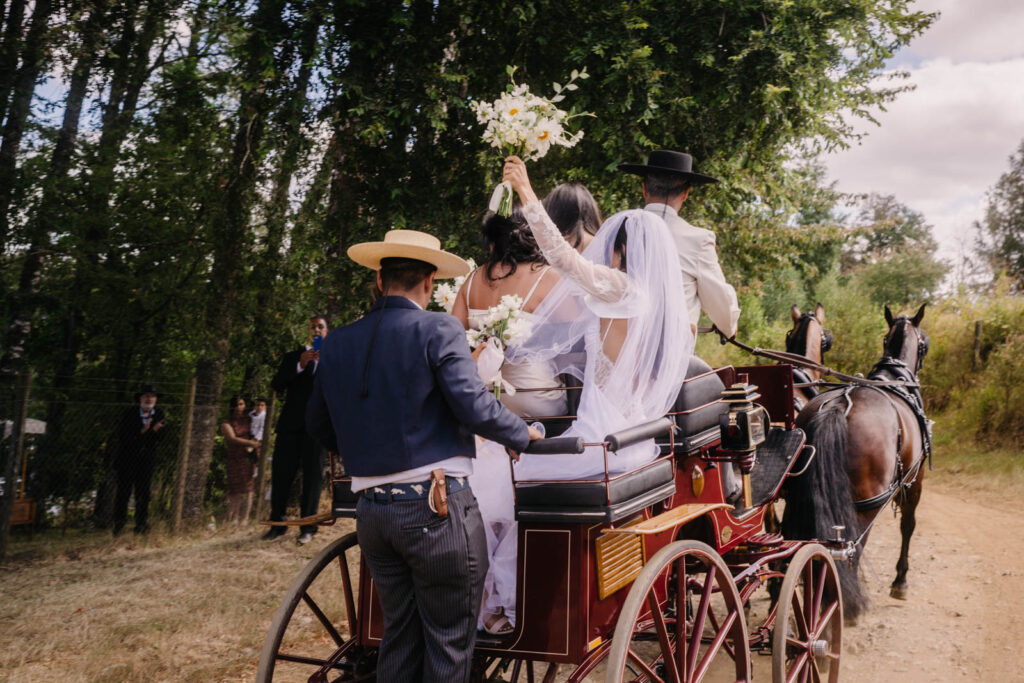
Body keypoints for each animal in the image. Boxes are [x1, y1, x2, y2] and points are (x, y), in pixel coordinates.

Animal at [778, 301, 933, 622]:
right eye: (924, 343)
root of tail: (840, 406)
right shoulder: (915, 482)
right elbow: (908, 526)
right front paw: (900, 581)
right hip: (864, 504)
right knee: (850, 547)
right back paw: (842, 606)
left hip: (801, 496)